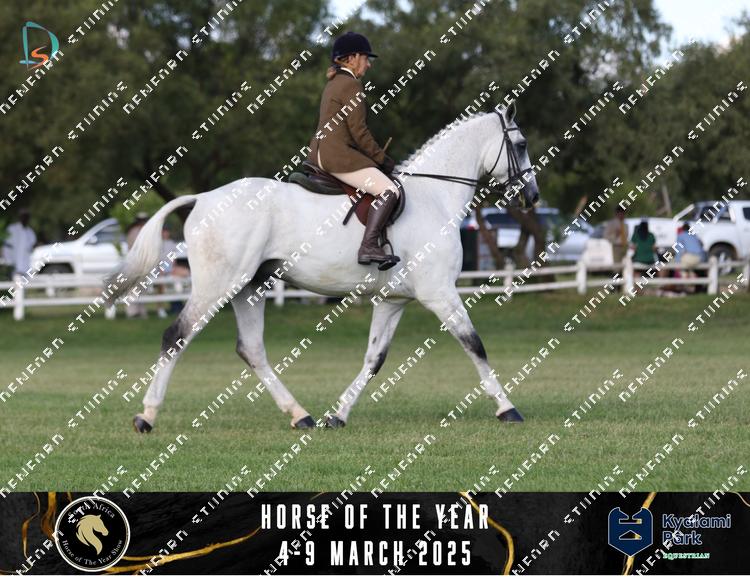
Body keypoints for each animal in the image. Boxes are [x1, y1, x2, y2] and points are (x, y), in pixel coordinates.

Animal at [106, 105, 540, 433]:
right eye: (520, 145)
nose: (532, 196)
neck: (435, 195)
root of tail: (201, 198)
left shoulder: (393, 300)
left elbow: (374, 359)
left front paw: (338, 414)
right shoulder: (440, 293)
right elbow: (475, 345)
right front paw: (507, 408)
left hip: (249, 288)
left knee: (252, 350)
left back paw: (300, 415)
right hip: (218, 285)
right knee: (176, 336)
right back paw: (146, 415)